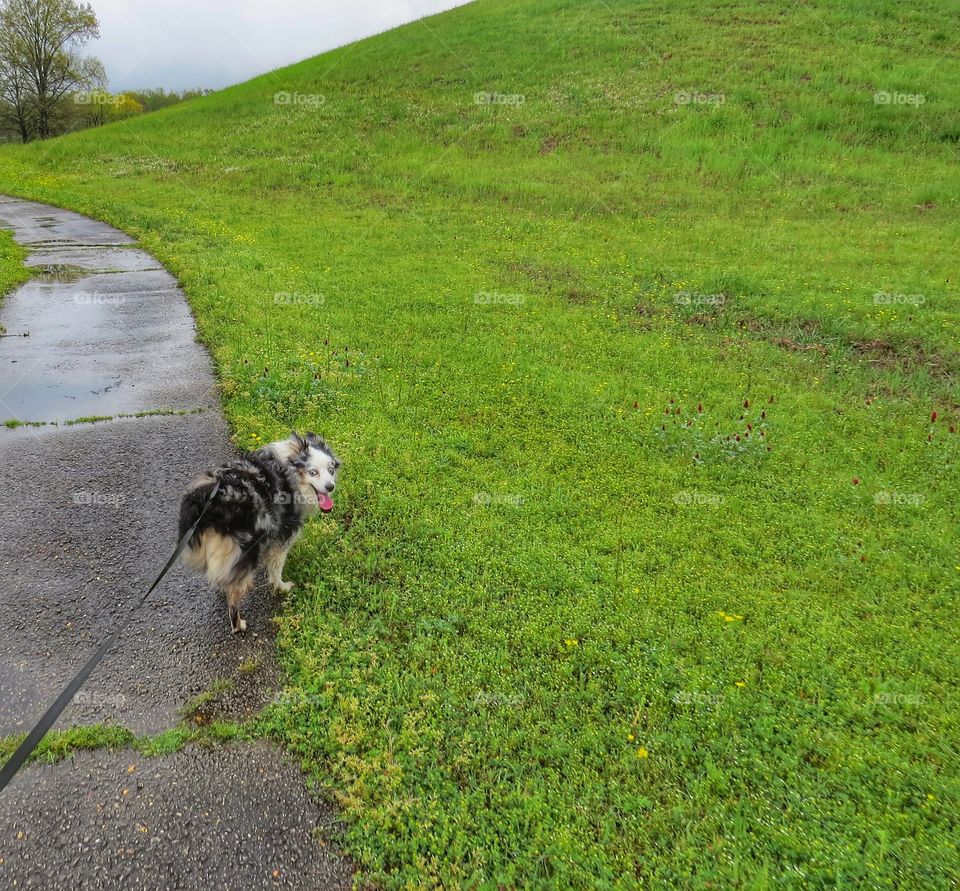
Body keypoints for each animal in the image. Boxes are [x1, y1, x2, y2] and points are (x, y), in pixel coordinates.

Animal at [178, 432, 340, 636]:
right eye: (313, 472)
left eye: (331, 470)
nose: (330, 486)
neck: (290, 467)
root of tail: (207, 502)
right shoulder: (283, 534)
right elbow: (277, 567)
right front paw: (282, 587)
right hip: (248, 549)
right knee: (234, 596)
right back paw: (238, 625)